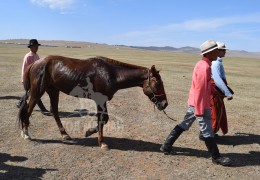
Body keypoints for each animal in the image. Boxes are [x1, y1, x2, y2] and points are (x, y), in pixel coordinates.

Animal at [18, 55, 169, 149]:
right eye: (157, 83)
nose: (165, 103)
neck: (112, 74)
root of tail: (35, 63)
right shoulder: (99, 100)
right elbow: (102, 119)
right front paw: (101, 142)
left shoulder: (102, 100)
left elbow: (104, 119)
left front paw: (90, 132)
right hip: (37, 92)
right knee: (29, 110)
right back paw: (26, 134)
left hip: (53, 91)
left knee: (54, 111)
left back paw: (65, 134)